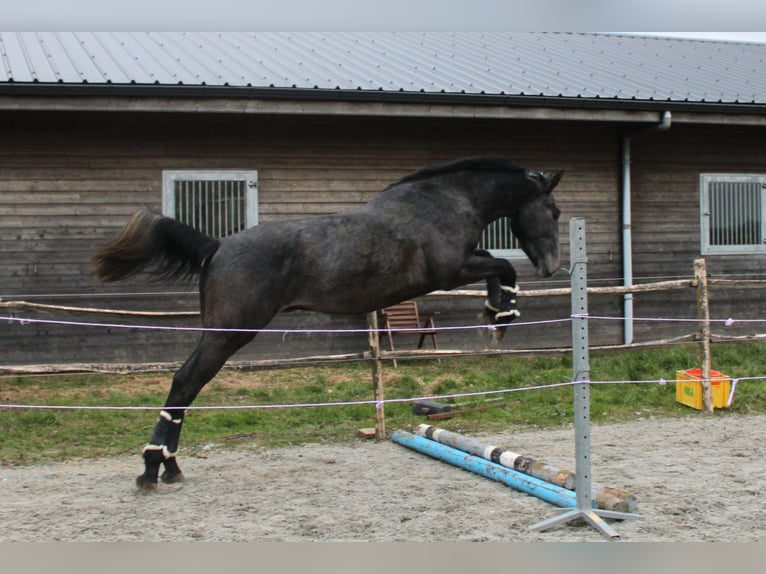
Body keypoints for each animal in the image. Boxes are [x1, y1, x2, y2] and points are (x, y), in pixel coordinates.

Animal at [90, 158, 564, 490]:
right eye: (554, 210)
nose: (552, 267)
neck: (443, 202)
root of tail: (218, 246)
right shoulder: (450, 271)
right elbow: (503, 265)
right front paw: (501, 315)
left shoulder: (462, 265)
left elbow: (497, 265)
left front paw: (496, 311)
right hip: (229, 333)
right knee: (186, 382)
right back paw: (153, 467)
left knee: (186, 387)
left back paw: (169, 467)